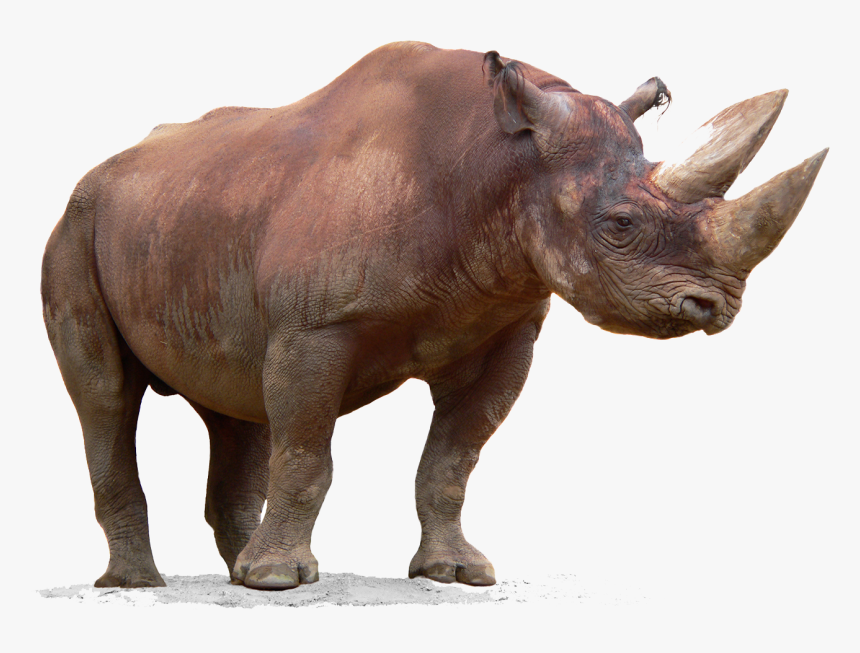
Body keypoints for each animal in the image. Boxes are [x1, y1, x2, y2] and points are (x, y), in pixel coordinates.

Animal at [41, 42, 826, 590]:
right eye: (621, 225)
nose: (716, 306)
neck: (498, 164)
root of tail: (106, 167)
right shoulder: (315, 329)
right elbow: (307, 451)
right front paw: (276, 583)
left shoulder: (507, 326)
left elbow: (452, 458)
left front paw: (457, 574)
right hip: (77, 226)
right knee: (106, 397)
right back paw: (145, 583)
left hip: (192, 215)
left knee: (235, 400)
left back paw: (236, 569)